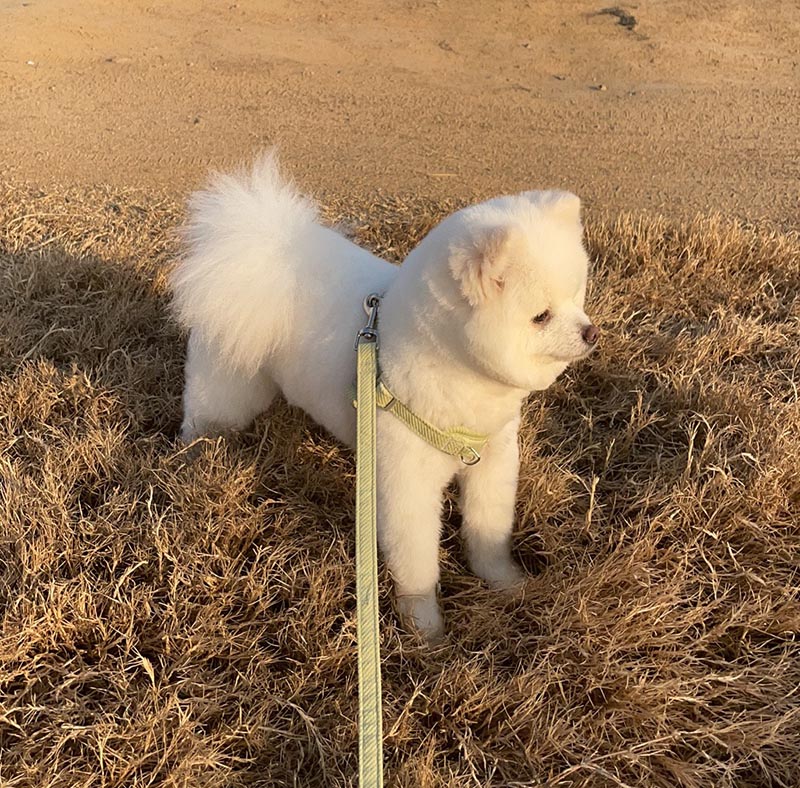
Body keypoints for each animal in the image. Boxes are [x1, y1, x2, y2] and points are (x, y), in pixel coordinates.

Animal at [172, 154, 596, 640]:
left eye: (577, 295)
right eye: (540, 317)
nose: (591, 332)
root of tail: (250, 250)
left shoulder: (493, 461)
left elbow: (488, 528)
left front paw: (505, 582)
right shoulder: (407, 484)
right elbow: (417, 561)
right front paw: (425, 628)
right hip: (226, 386)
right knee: (203, 419)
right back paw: (192, 461)